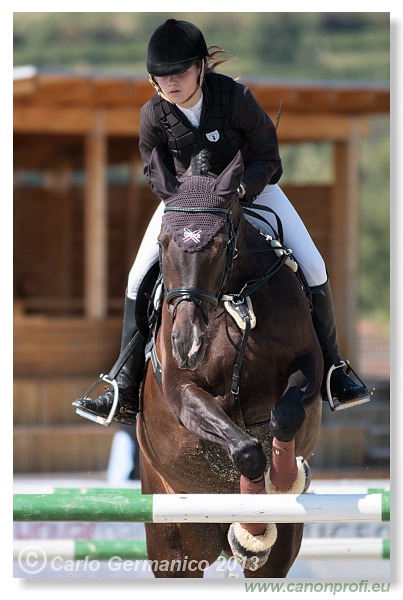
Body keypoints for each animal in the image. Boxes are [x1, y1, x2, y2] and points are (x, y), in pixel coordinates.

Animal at [137, 149, 324, 576]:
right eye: (162, 242)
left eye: (220, 244)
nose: (187, 344)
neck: (234, 300)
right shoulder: (181, 390)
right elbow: (245, 449)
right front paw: (252, 528)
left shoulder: (308, 362)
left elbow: (284, 415)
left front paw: (283, 480)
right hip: (172, 543)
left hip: (281, 549)